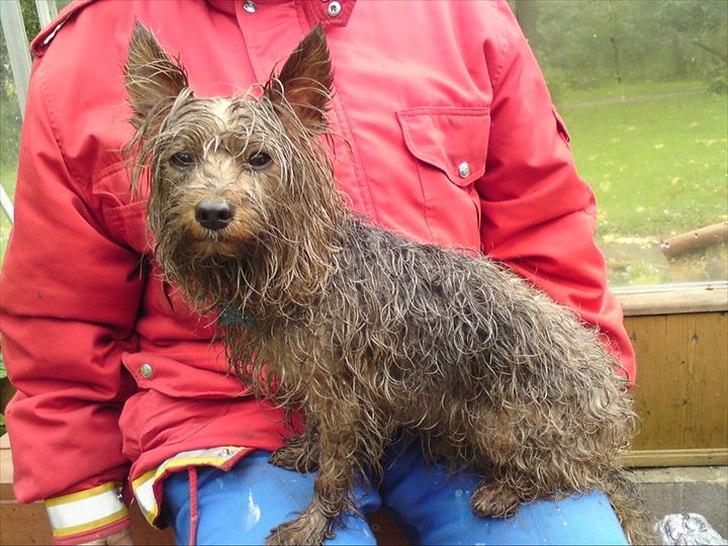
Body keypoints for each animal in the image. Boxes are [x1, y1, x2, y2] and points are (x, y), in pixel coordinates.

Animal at [126, 23, 656, 540]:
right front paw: (305, 450)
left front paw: (314, 521)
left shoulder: (346, 399)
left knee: (562, 473)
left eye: (259, 158)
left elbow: (334, 472)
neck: (310, 271)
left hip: (507, 424)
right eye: (181, 158)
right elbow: (318, 434)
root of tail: (608, 416)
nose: (213, 211)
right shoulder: (320, 388)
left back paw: (504, 491)